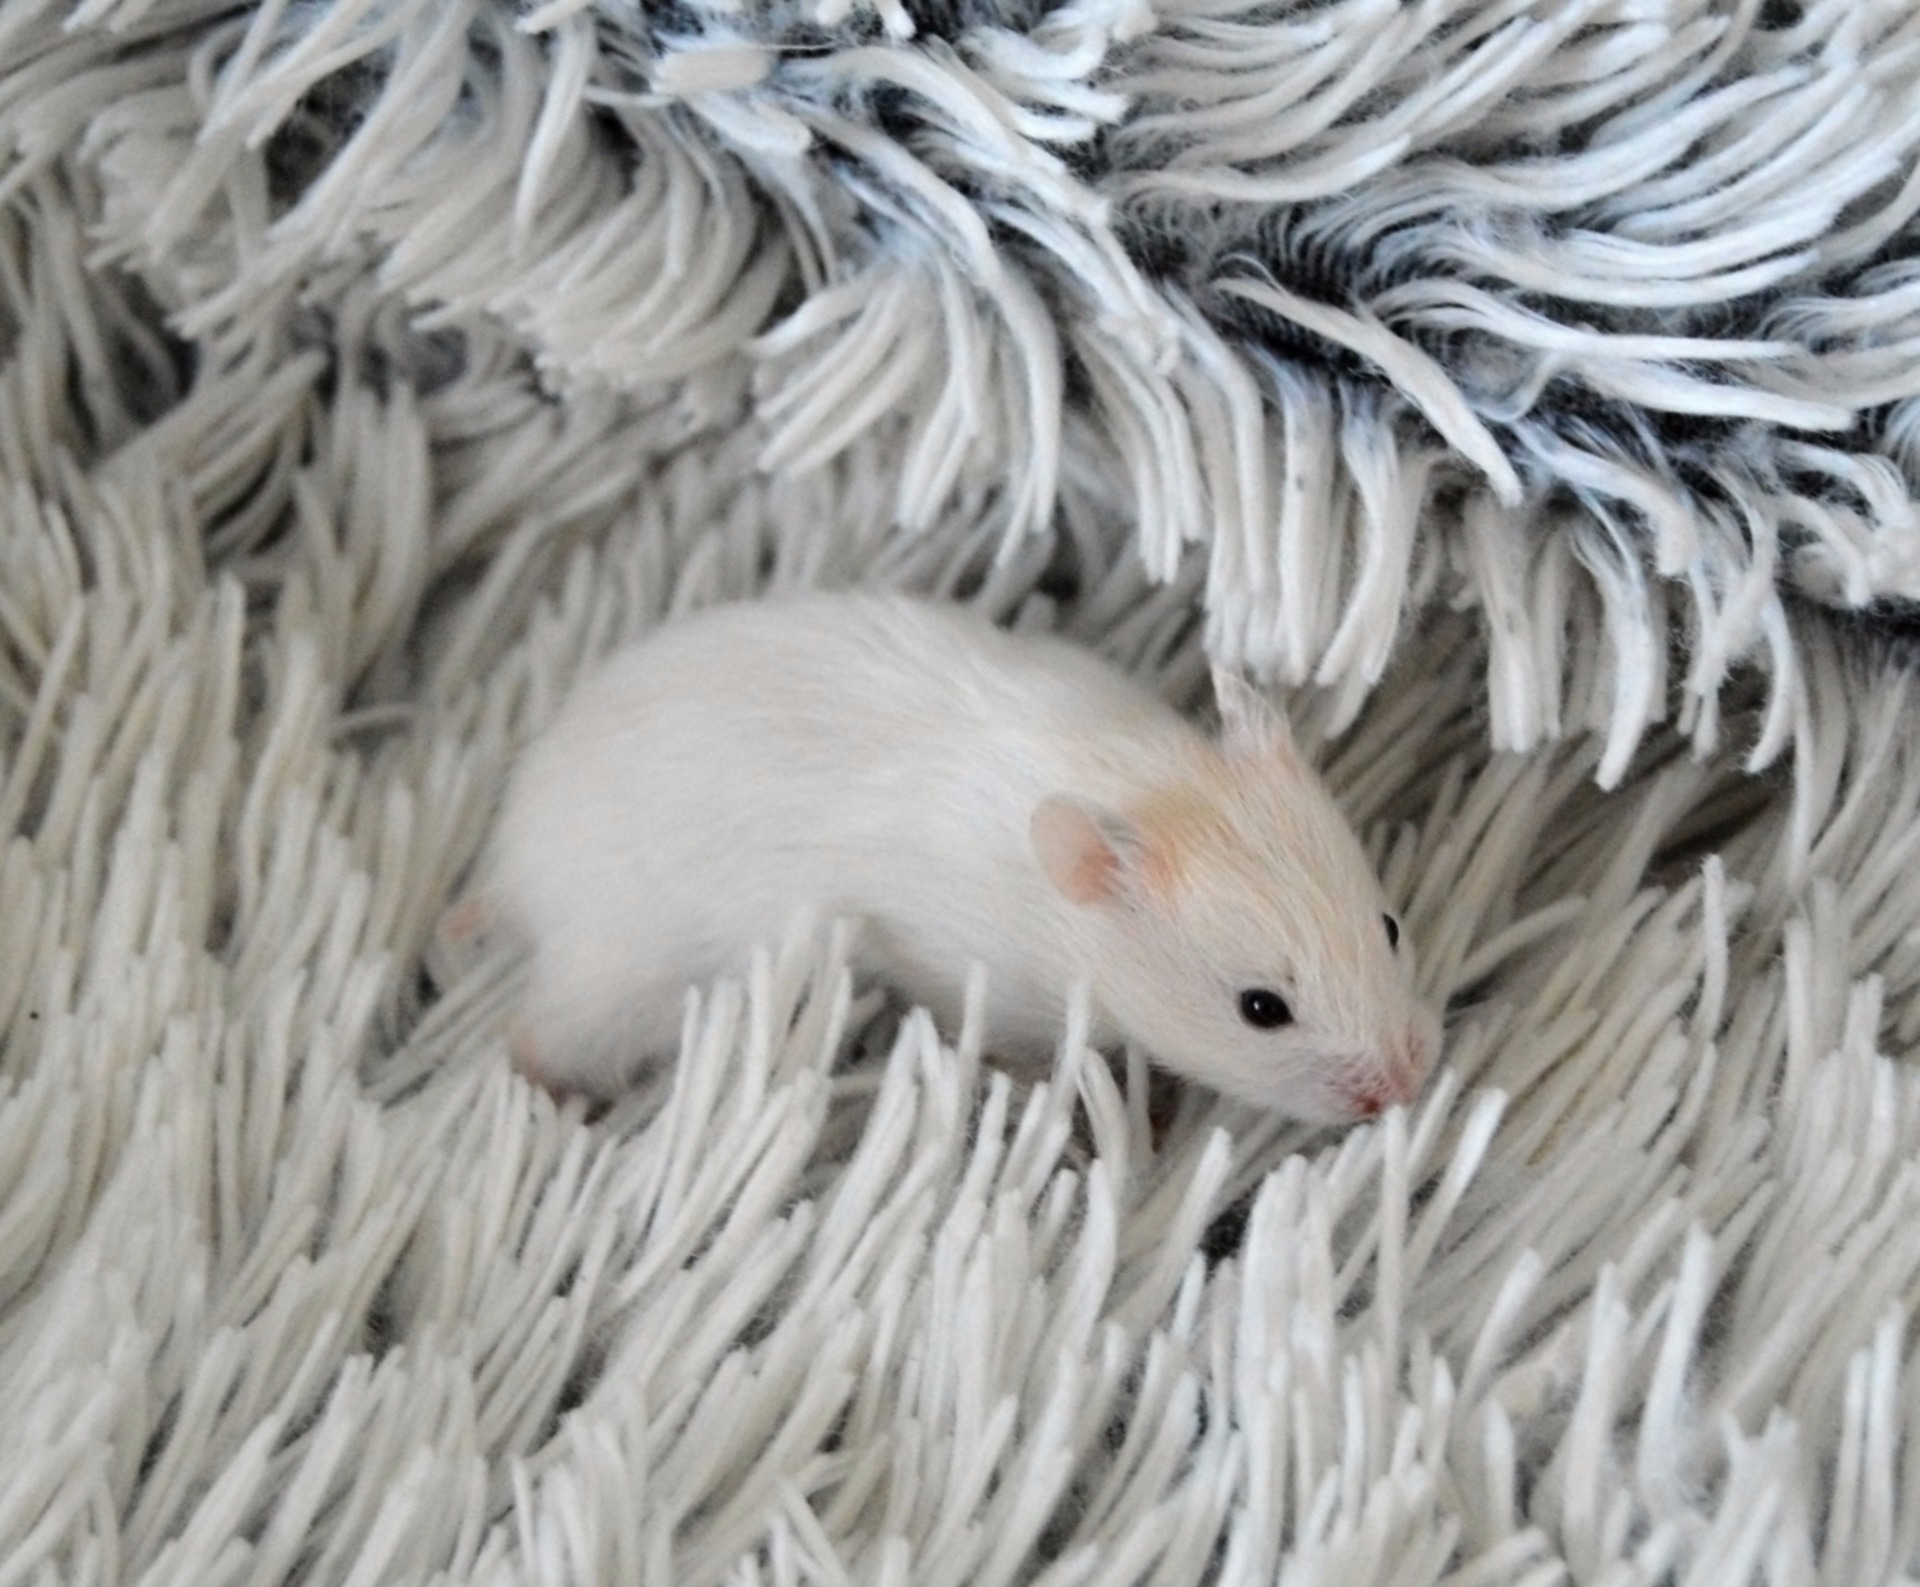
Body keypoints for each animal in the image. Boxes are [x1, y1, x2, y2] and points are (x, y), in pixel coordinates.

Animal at [483, 591, 1440, 1124]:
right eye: (1261, 1008)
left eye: (1393, 928)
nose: (1403, 1090)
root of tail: (512, 852)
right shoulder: (960, 971)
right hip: (624, 976)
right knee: (536, 1033)